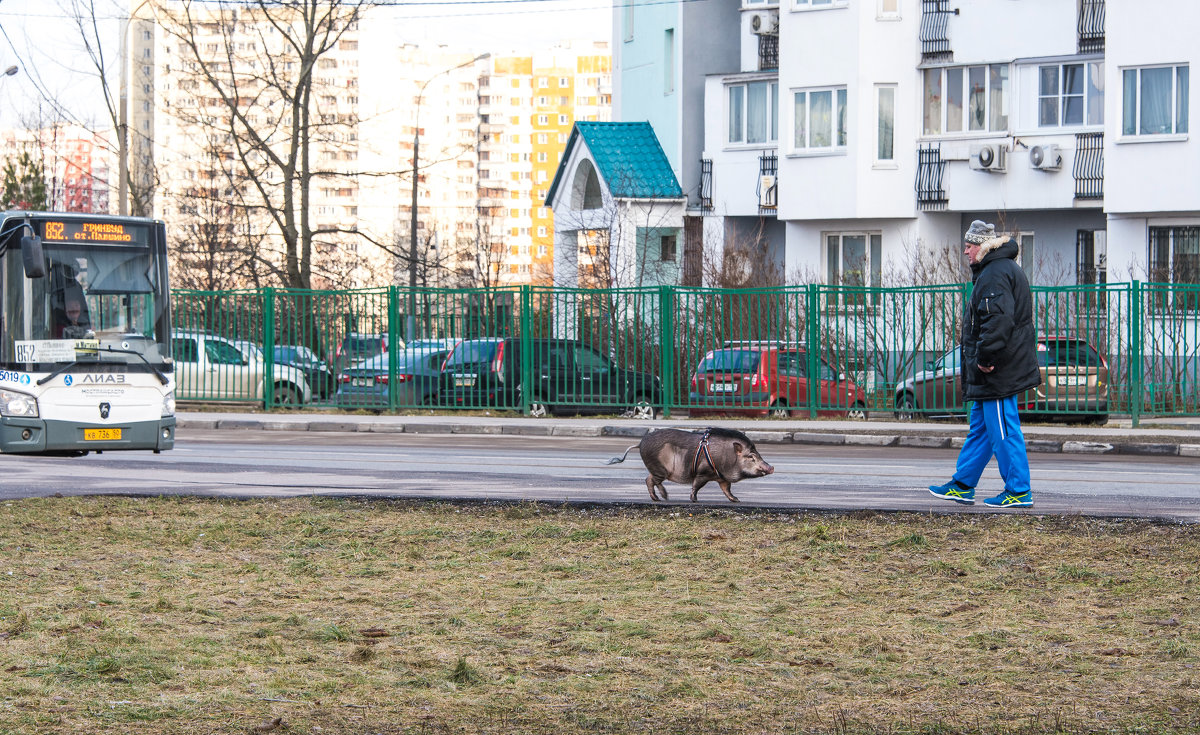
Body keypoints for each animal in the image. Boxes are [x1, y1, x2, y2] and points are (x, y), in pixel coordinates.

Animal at [604, 427, 772, 502]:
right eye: (751, 457)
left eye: (758, 454)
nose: (771, 467)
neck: (728, 457)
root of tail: (639, 443)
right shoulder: (704, 472)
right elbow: (697, 485)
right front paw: (694, 499)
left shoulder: (721, 477)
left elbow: (727, 489)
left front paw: (736, 500)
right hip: (660, 469)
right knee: (651, 480)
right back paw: (663, 497)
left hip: (657, 469)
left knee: (649, 479)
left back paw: (660, 498)